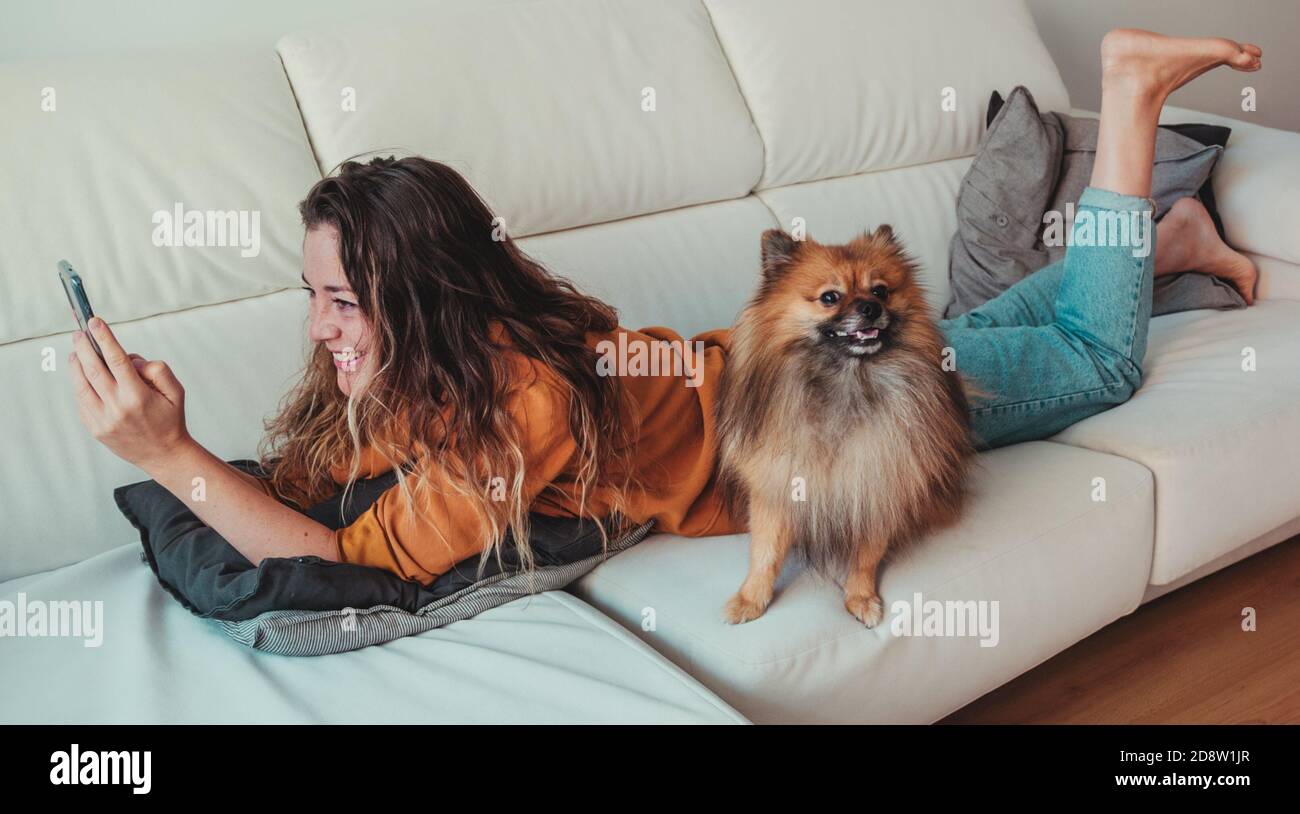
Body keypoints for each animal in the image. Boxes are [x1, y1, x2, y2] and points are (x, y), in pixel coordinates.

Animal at [722, 224, 977, 624]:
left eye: (880, 291)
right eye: (830, 297)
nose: (871, 307)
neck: (848, 380)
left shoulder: (879, 482)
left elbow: (867, 553)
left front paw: (861, 597)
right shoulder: (777, 487)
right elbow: (765, 552)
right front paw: (751, 598)